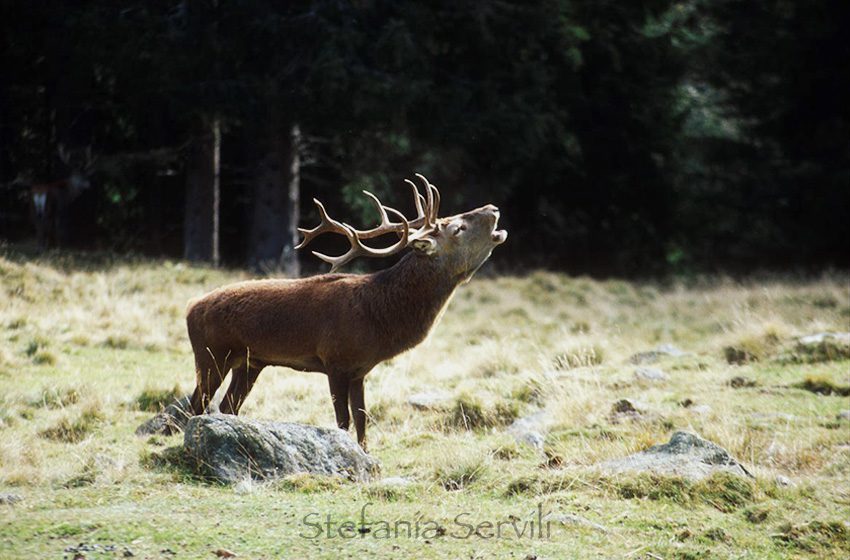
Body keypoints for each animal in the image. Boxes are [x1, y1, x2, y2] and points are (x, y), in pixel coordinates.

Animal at [184, 174, 506, 449]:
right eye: (458, 228)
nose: (493, 208)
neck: (379, 318)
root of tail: (190, 309)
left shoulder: (359, 371)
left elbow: (363, 420)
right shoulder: (334, 361)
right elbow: (343, 421)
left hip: (250, 362)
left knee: (227, 405)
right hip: (211, 354)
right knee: (197, 404)